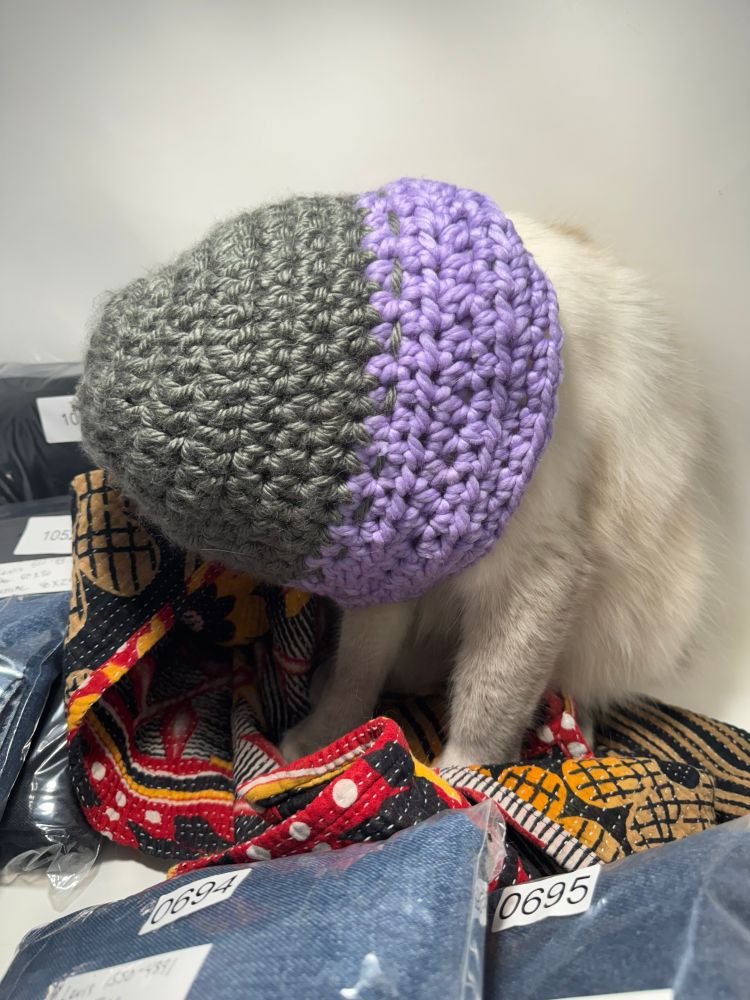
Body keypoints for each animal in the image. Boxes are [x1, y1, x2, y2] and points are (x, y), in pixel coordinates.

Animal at [280, 215, 709, 767]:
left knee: (576, 687)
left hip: (631, 619)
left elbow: (488, 707)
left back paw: (577, 739)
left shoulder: (532, 572)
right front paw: (323, 743)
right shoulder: (386, 578)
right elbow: (357, 674)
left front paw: (458, 781)